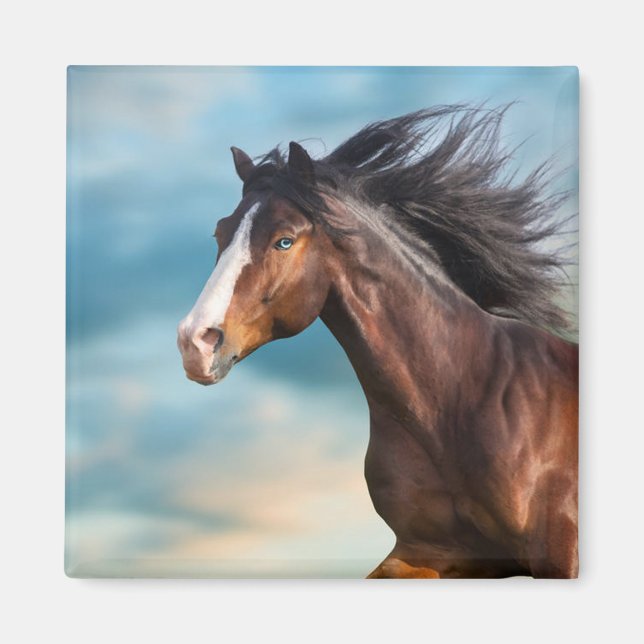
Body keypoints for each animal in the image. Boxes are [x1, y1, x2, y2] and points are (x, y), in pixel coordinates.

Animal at [177, 106, 579, 579]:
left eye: (284, 240)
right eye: (220, 235)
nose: (195, 343)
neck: (458, 403)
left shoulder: (559, 554)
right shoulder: (429, 551)